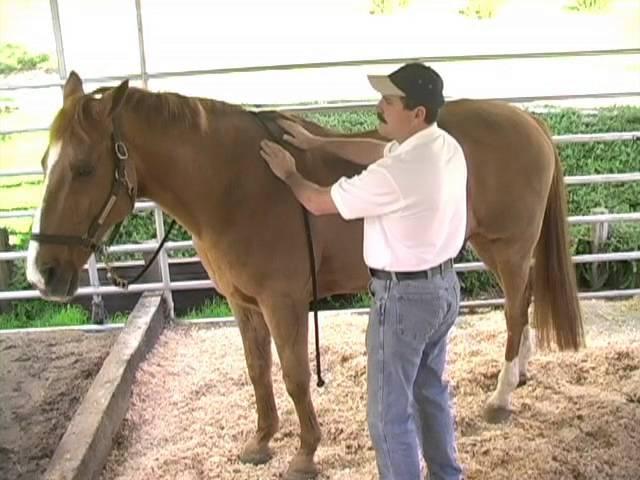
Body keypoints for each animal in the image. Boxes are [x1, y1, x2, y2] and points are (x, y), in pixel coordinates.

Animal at [27, 72, 584, 480]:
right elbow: (257, 371)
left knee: (514, 310)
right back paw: (520, 374)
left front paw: (305, 453)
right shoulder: (243, 303)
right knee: (523, 306)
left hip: (509, 249)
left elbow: (295, 374)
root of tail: (528, 119)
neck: (234, 184)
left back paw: (501, 396)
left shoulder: (284, 302)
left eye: (83, 168)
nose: (42, 273)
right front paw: (260, 441)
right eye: (44, 162)